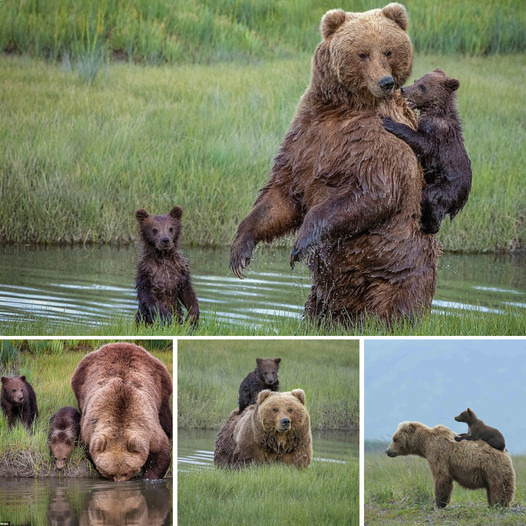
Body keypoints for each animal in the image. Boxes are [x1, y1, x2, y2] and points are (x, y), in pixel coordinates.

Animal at [231, 4, 442, 326]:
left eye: (389, 50)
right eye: (363, 53)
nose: (385, 82)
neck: (342, 108)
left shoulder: (379, 141)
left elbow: (373, 193)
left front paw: (300, 242)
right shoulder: (307, 136)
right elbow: (282, 194)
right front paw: (240, 251)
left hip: (397, 269)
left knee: (394, 302)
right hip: (324, 293)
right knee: (318, 306)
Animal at [382, 69, 472, 234]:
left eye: (422, 86)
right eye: (416, 80)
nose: (404, 89)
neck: (435, 111)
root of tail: (461, 202)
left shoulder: (437, 133)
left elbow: (422, 143)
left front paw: (388, 121)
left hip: (447, 186)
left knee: (431, 198)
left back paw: (426, 225)